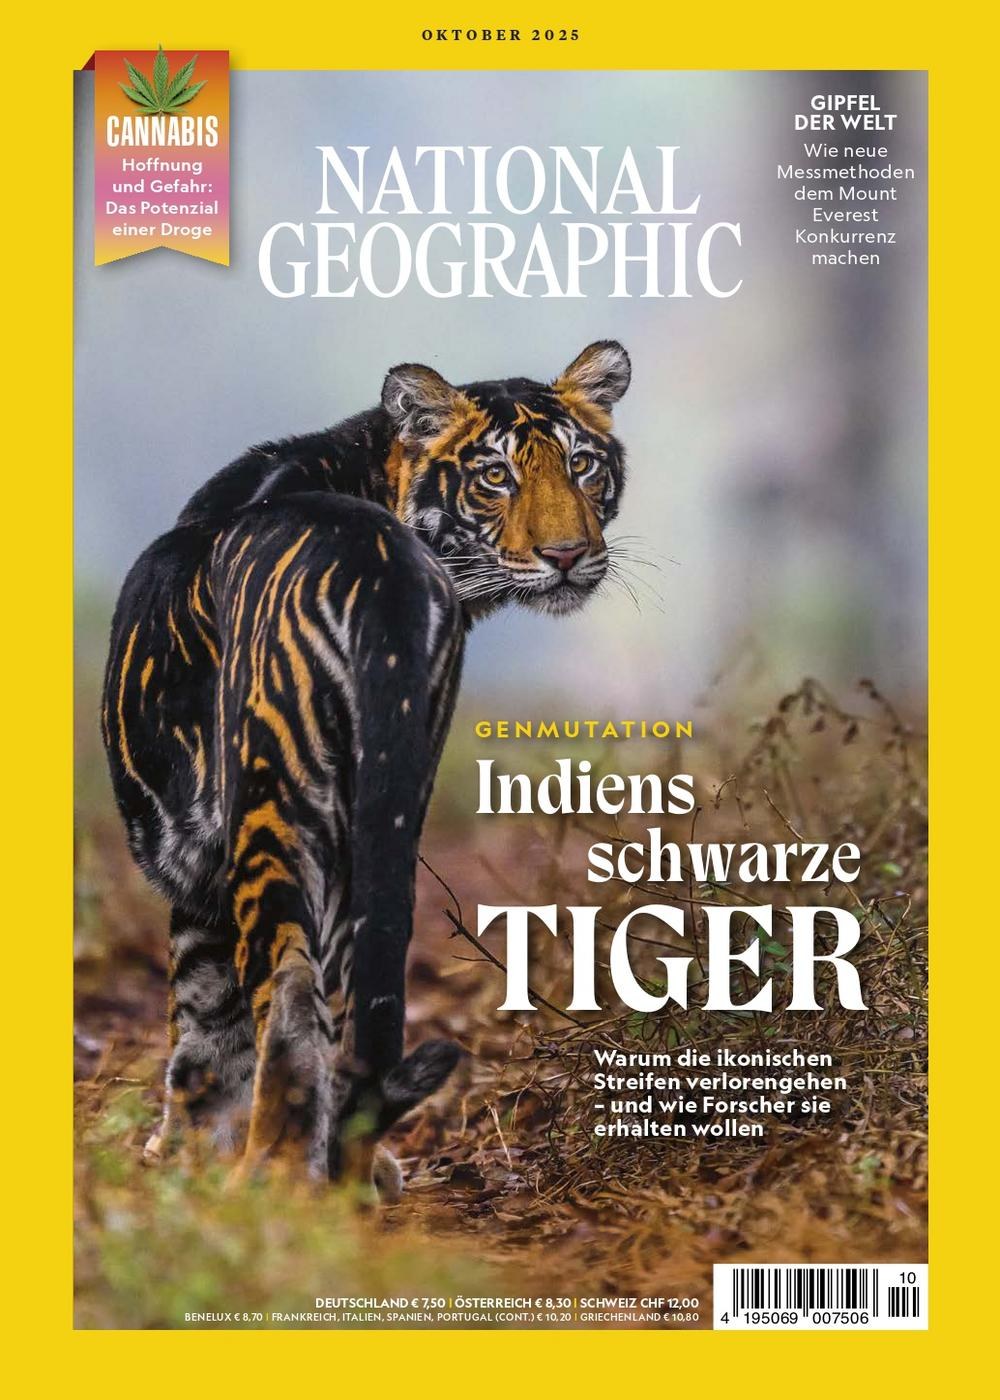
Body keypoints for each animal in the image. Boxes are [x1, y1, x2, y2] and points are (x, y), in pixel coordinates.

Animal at [101, 339, 632, 1196]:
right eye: (496, 475)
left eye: (581, 464)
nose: (568, 556)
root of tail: (379, 567)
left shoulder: (193, 866)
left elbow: (199, 1023)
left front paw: (177, 1155)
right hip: (379, 812)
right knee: (349, 1004)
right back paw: (350, 1168)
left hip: (272, 808)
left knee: (286, 1001)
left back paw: (275, 1178)